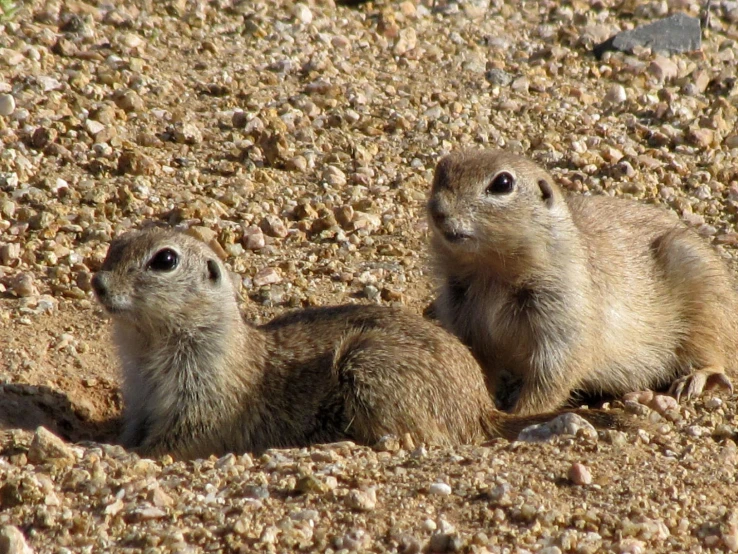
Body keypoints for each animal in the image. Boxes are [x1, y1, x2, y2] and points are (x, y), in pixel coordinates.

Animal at [90, 224, 620, 458]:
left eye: (164, 260)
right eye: (116, 242)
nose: (97, 283)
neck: (149, 345)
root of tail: (481, 408)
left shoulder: (204, 401)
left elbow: (175, 441)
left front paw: (120, 454)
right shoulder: (139, 399)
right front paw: (111, 443)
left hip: (370, 367)